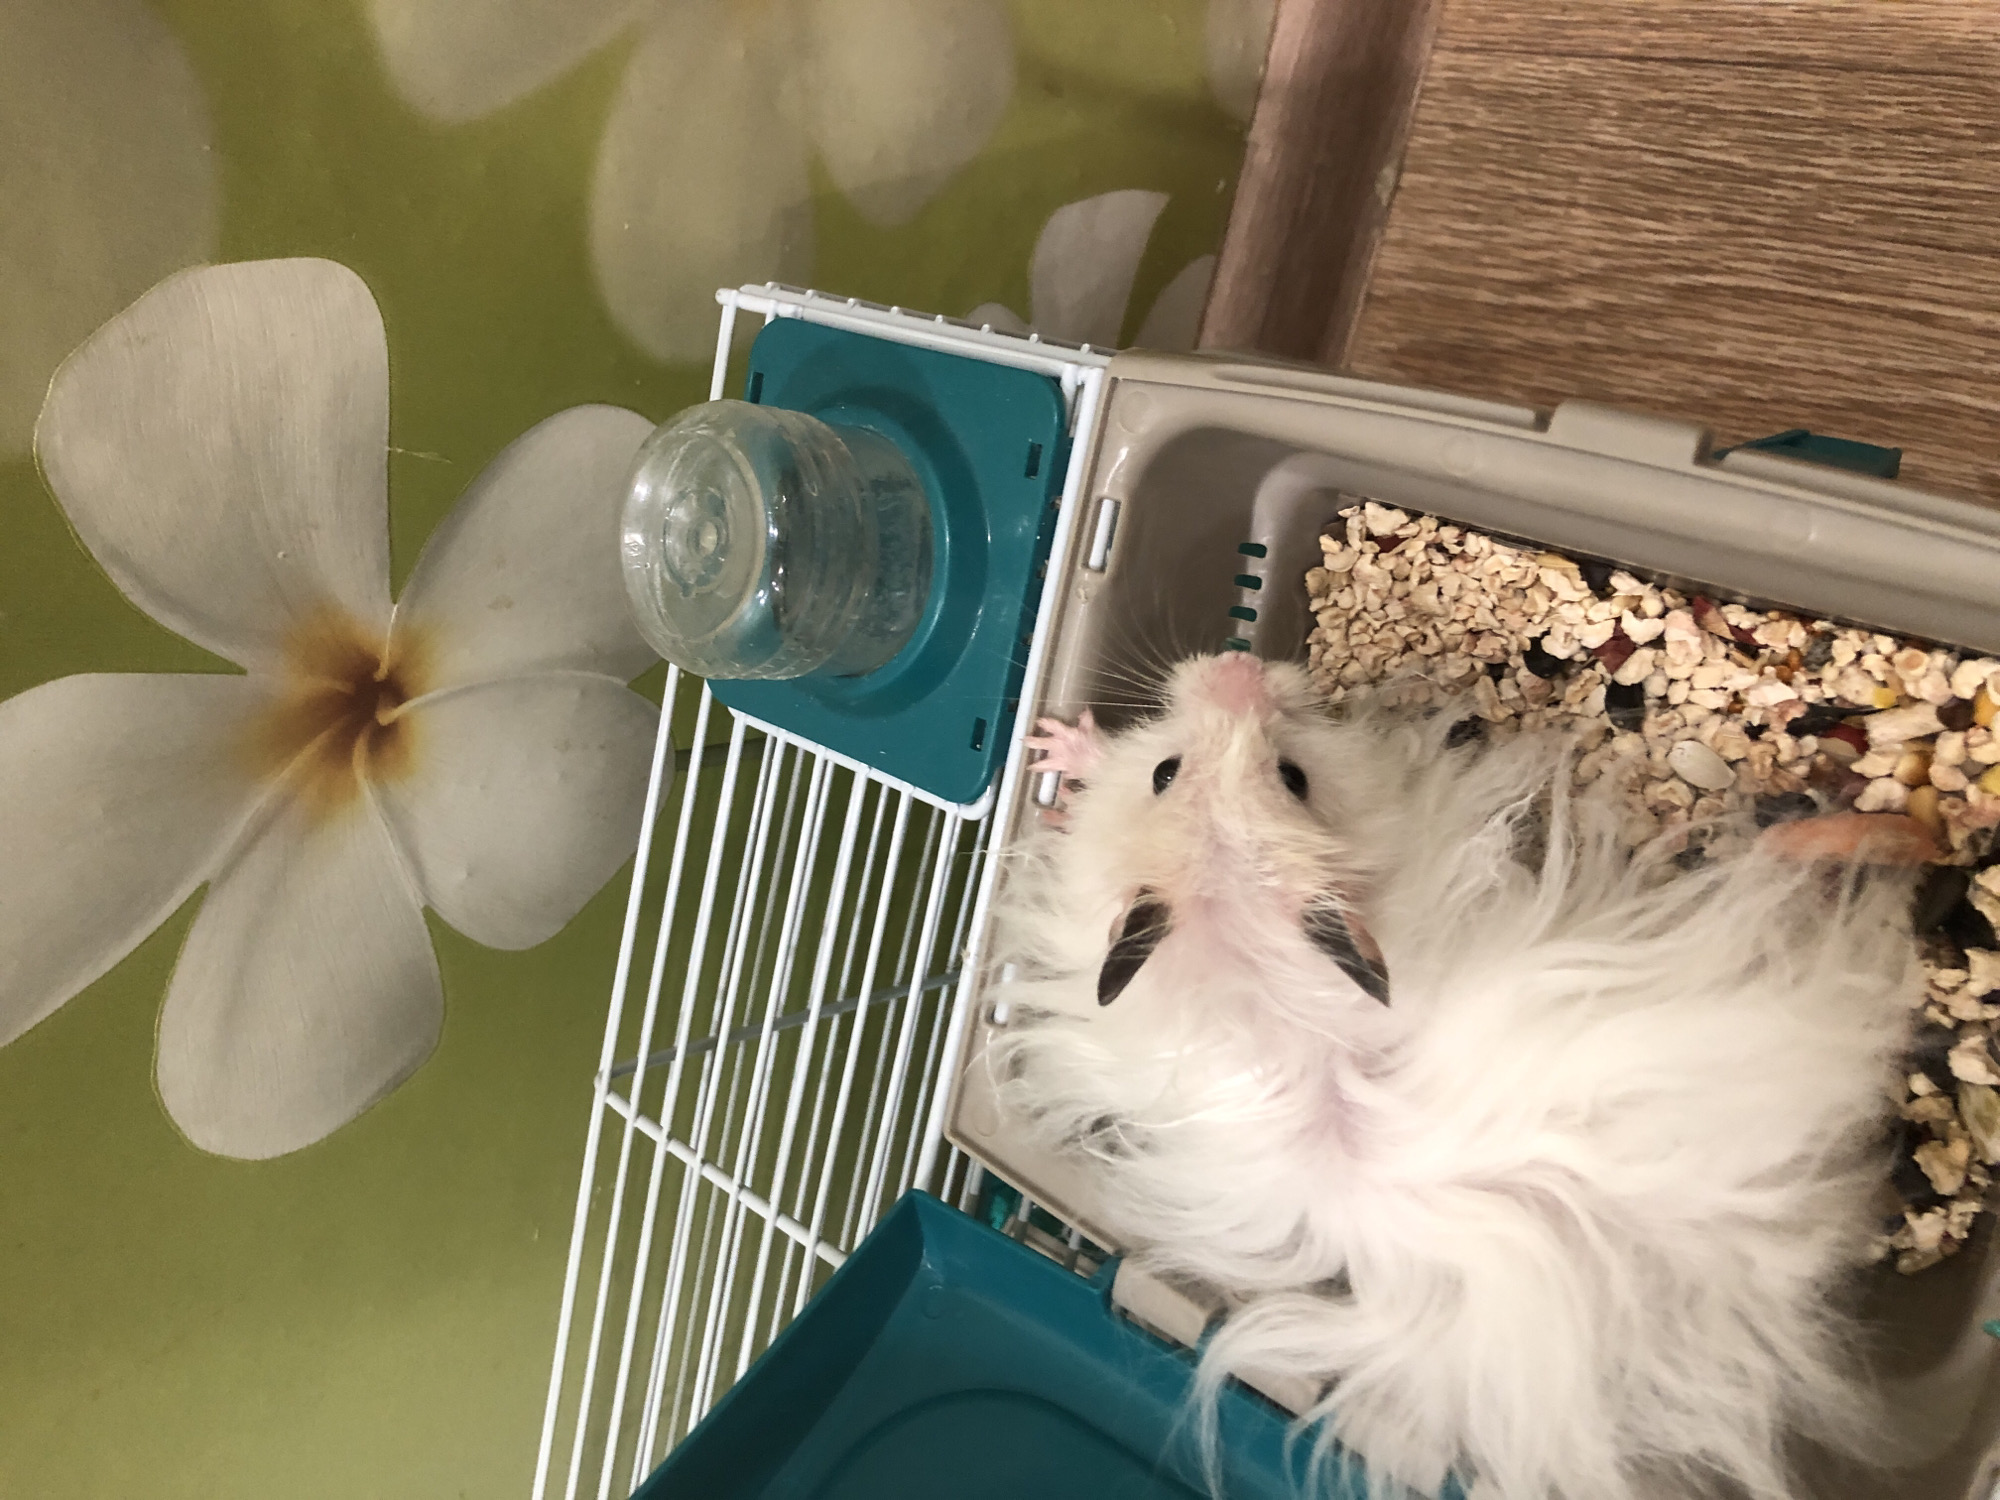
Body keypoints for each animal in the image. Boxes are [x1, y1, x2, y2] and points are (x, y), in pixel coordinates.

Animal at [985, 651, 1924, 1500]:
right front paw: (1057, 744)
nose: (1237, 663)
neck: (1250, 943)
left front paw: (1053, 743)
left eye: (1291, 775)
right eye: (1167, 771)